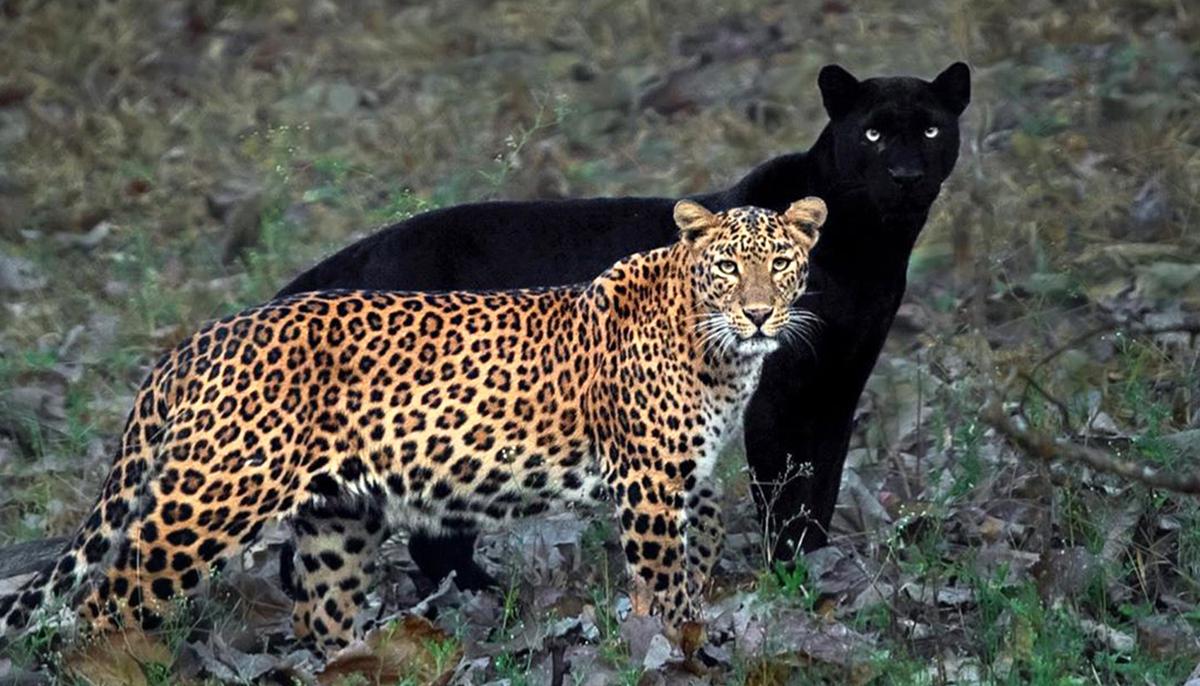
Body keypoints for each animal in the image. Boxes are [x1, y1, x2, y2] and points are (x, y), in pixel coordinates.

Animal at [0, 197, 826, 655]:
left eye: (782, 263)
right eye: (727, 267)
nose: (759, 314)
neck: (718, 350)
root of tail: (192, 344)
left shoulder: (684, 474)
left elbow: (701, 545)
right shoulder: (648, 480)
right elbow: (663, 580)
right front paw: (678, 646)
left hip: (337, 516)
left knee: (322, 613)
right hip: (209, 501)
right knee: (102, 603)